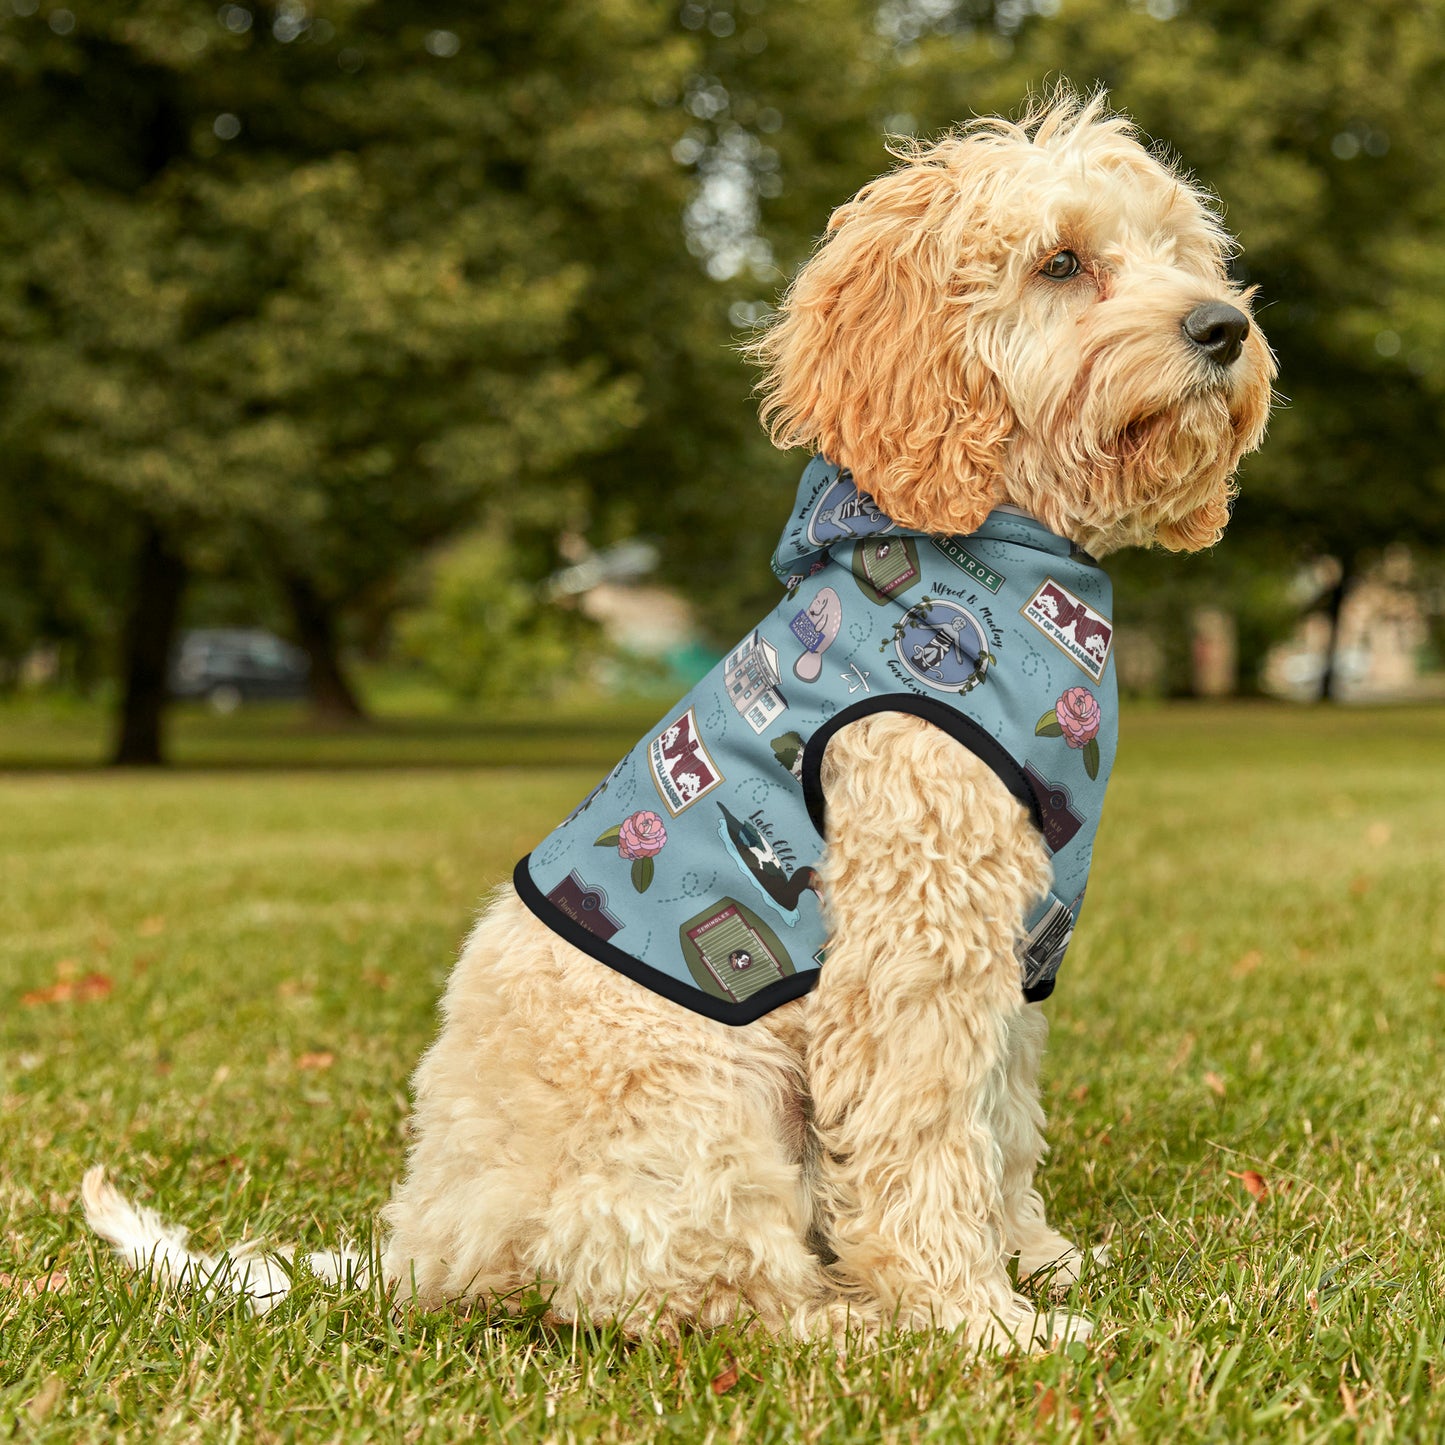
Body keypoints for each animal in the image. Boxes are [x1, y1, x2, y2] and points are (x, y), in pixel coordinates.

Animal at [84, 96, 1271, 1346]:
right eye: (1060, 262)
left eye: (1180, 253)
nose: (1222, 326)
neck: (982, 555)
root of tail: (424, 1247)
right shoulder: (912, 940)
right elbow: (925, 1136)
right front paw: (976, 1319)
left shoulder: (1014, 941)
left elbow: (999, 1120)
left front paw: (1034, 1259)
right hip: (706, 1104)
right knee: (702, 1288)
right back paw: (849, 1319)